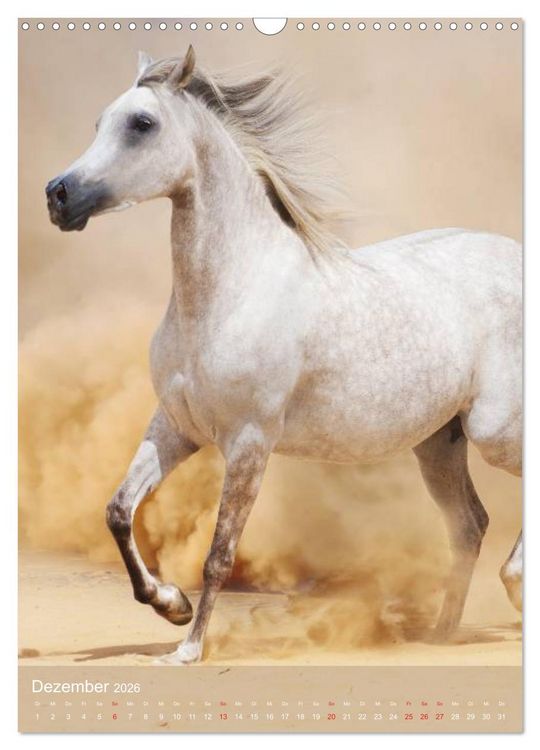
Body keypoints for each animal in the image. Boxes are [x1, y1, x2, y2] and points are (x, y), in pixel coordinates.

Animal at [46, 46, 522, 664]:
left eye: (142, 124)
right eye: (100, 122)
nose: (58, 196)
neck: (231, 292)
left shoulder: (250, 442)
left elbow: (219, 554)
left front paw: (189, 649)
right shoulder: (176, 428)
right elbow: (119, 511)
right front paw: (170, 604)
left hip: (494, 432)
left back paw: (513, 586)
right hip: (439, 445)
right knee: (469, 525)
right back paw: (441, 634)